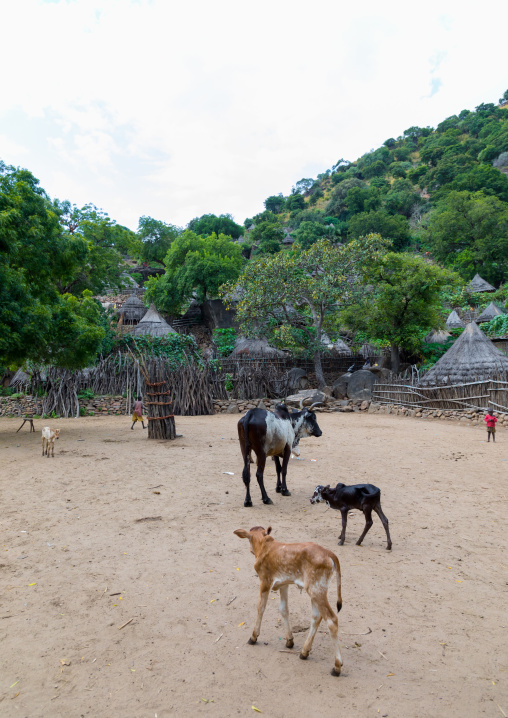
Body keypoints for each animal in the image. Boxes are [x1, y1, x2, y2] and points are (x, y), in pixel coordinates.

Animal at [234, 525, 343, 676]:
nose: (250, 550)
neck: (264, 545)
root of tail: (329, 553)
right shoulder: (283, 584)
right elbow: (284, 609)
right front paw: (289, 640)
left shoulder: (265, 581)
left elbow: (261, 607)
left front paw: (254, 637)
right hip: (315, 591)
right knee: (316, 617)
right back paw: (304, 652)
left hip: (317, 590)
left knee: (331, 620)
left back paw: (337, 666)